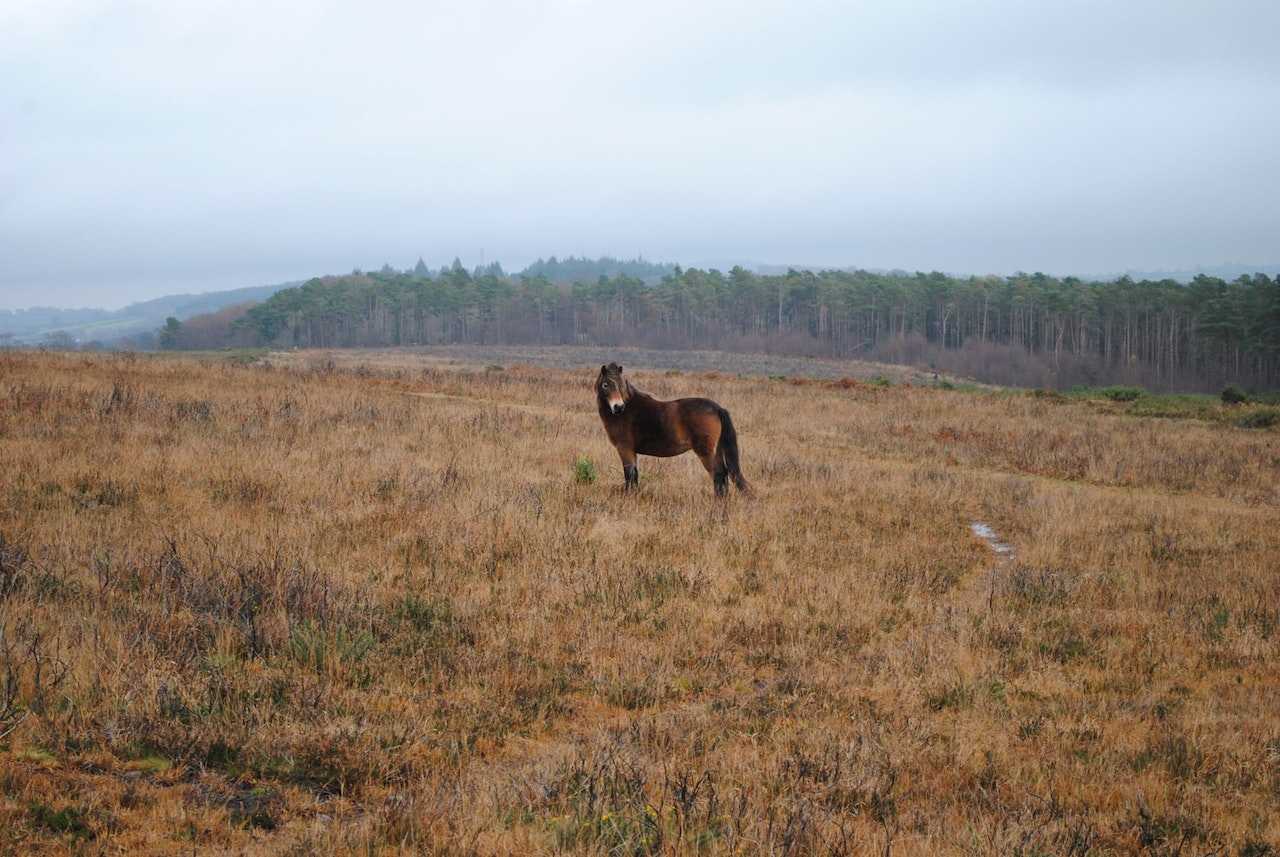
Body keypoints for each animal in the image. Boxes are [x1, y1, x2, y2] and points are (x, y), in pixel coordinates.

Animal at [596, 360, 747, 496]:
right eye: (605, 385)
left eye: (620, 385)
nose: (618, 407)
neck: (627, 410)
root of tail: (717, 409)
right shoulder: (631, 451)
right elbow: (634, 476)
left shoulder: (625, 449)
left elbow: (629, 475)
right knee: (724, 475)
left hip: (706, 452)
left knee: (718, 474)